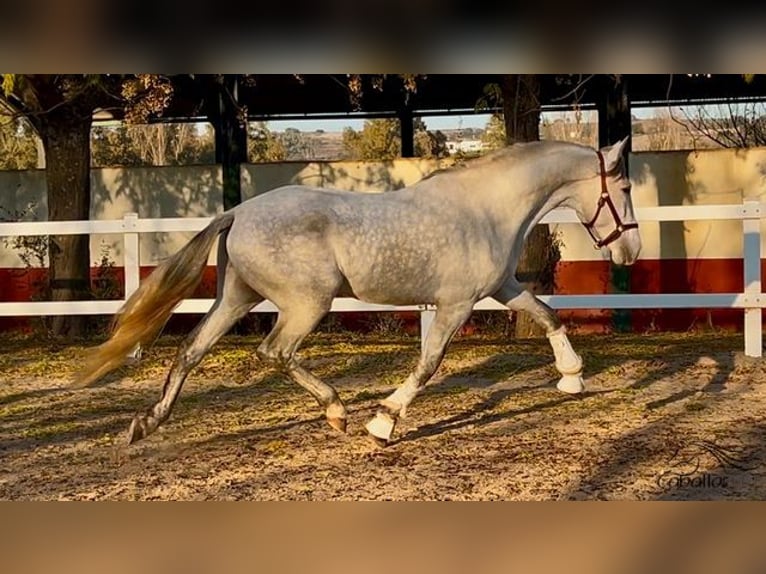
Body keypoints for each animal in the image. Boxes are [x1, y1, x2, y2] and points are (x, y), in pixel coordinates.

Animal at [76, 137, 640, 448]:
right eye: (627, 189)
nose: (630, 250)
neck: (486, 208)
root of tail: (237, 212)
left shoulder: (502, 287)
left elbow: (546, 314)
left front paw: (572, 378)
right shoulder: (456, 304)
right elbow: (428, 364)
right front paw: (383, 423)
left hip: (237, 297)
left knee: (191, 350)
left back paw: (146, 424)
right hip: (307, 303)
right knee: (274, 351)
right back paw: (337, 411)